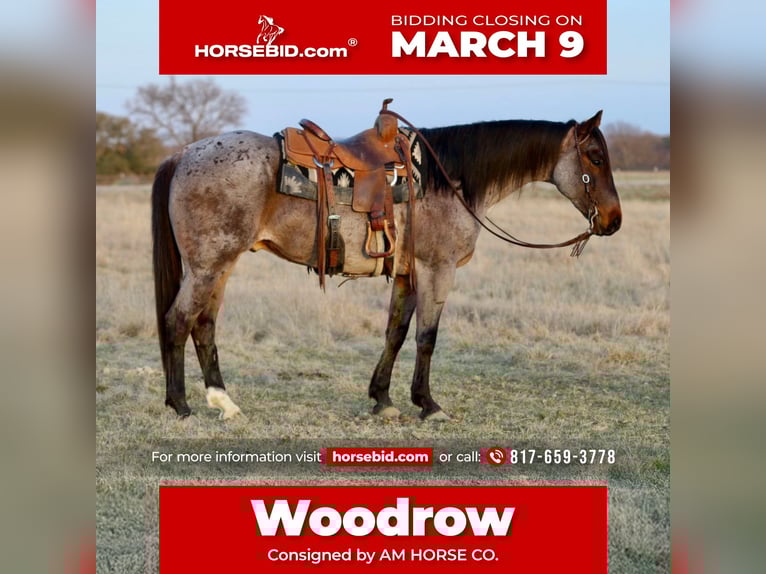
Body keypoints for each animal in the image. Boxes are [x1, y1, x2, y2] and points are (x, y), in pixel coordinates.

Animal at [151, 108, 622, 421]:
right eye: (596, 159)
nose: (614, 221)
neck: (448, 179)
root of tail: (182, 155)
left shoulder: (407, 274)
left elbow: (395, 333)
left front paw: (383, 399)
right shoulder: (438, 270)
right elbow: (427, 337)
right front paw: (428, 405)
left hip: (220, 266)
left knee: (204, 326)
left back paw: (224, 402)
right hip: (209, 265)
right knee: (178, 321)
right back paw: (181, 404)